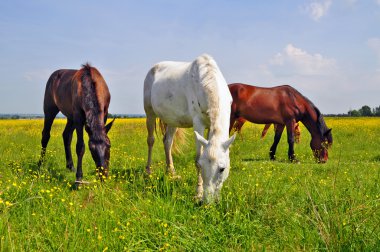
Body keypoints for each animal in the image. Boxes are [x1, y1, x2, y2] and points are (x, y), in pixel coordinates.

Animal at [144, 54, 236, 202]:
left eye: (222, 168)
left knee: (167, 141)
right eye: (202, 166)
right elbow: (197, 157)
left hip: (172, 120)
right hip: (149, 113)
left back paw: (171, 173)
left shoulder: (209, 127)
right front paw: (198, 193)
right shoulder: (198, 123)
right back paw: (148, 172)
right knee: (151, 140)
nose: (208, 202)